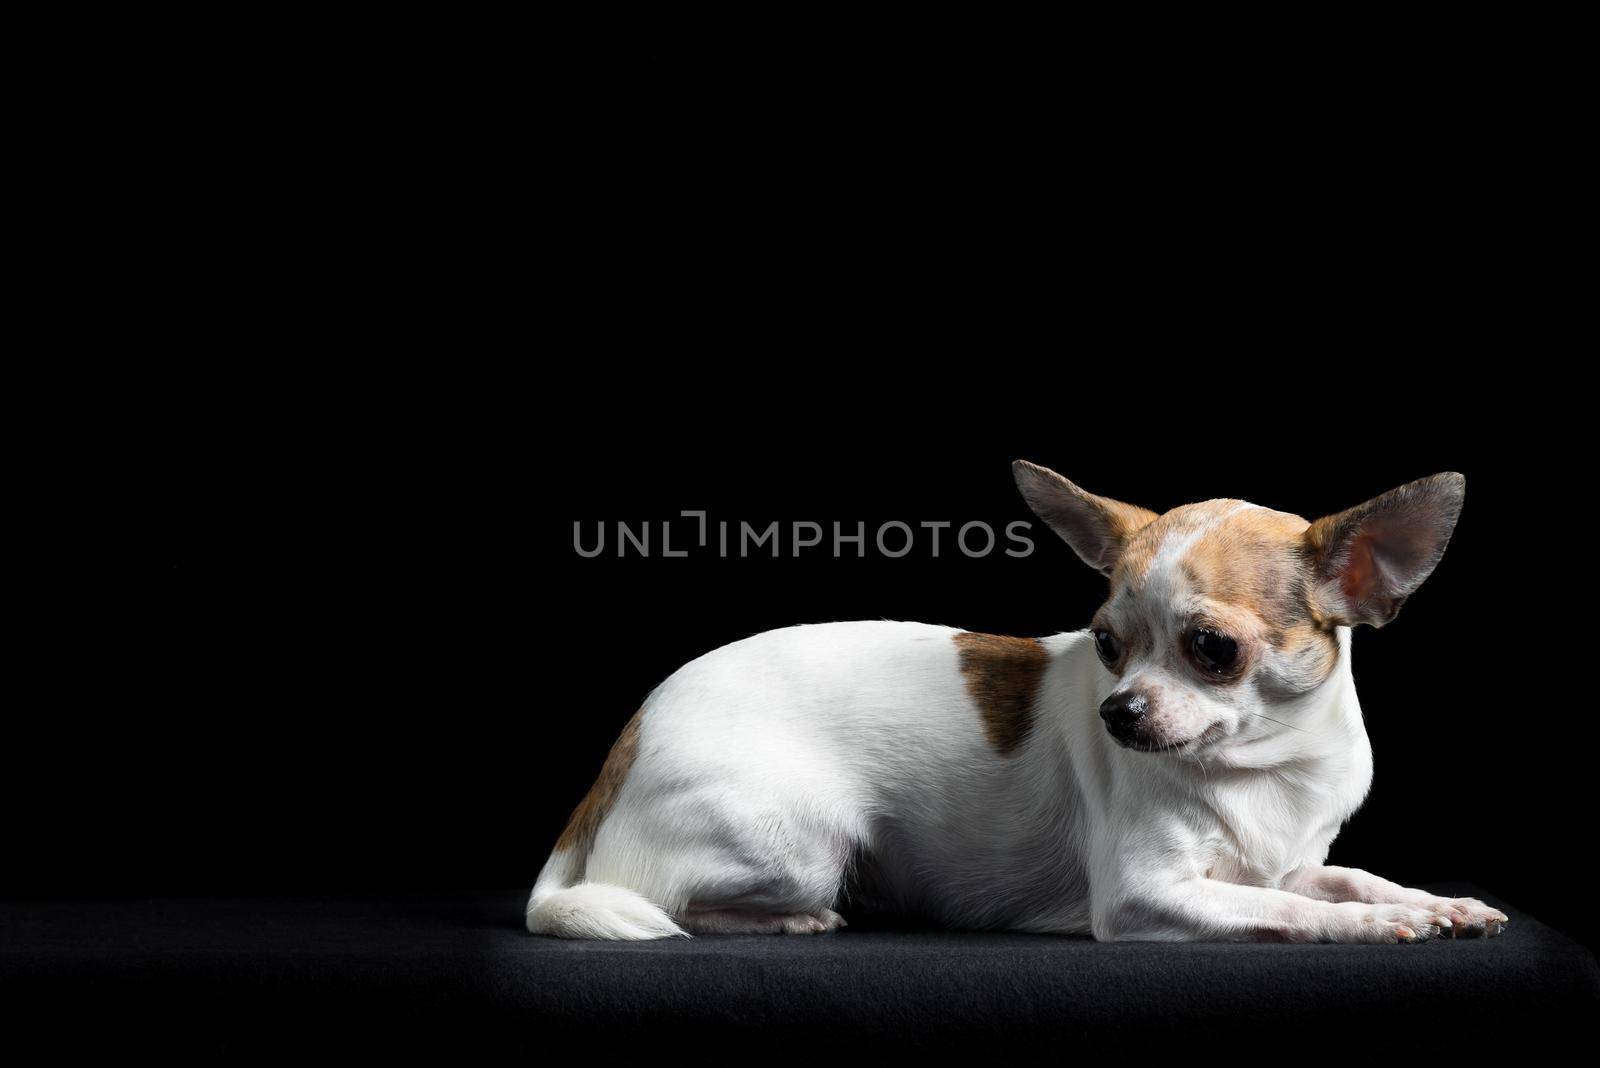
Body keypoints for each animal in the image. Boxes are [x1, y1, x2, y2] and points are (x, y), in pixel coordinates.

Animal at [531, 466, 1504, 940]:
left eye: (1213, 650)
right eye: (1107, 645)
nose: (1119, 712)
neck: (1263, 768)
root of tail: (627, 740)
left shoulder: (1283, 861)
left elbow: (1339, 877)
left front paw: (1433, 903)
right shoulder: (1146, 896)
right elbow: (1297, 911)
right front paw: (1379, 924)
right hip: (802, 841)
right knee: (660, 897)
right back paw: (790, 917)